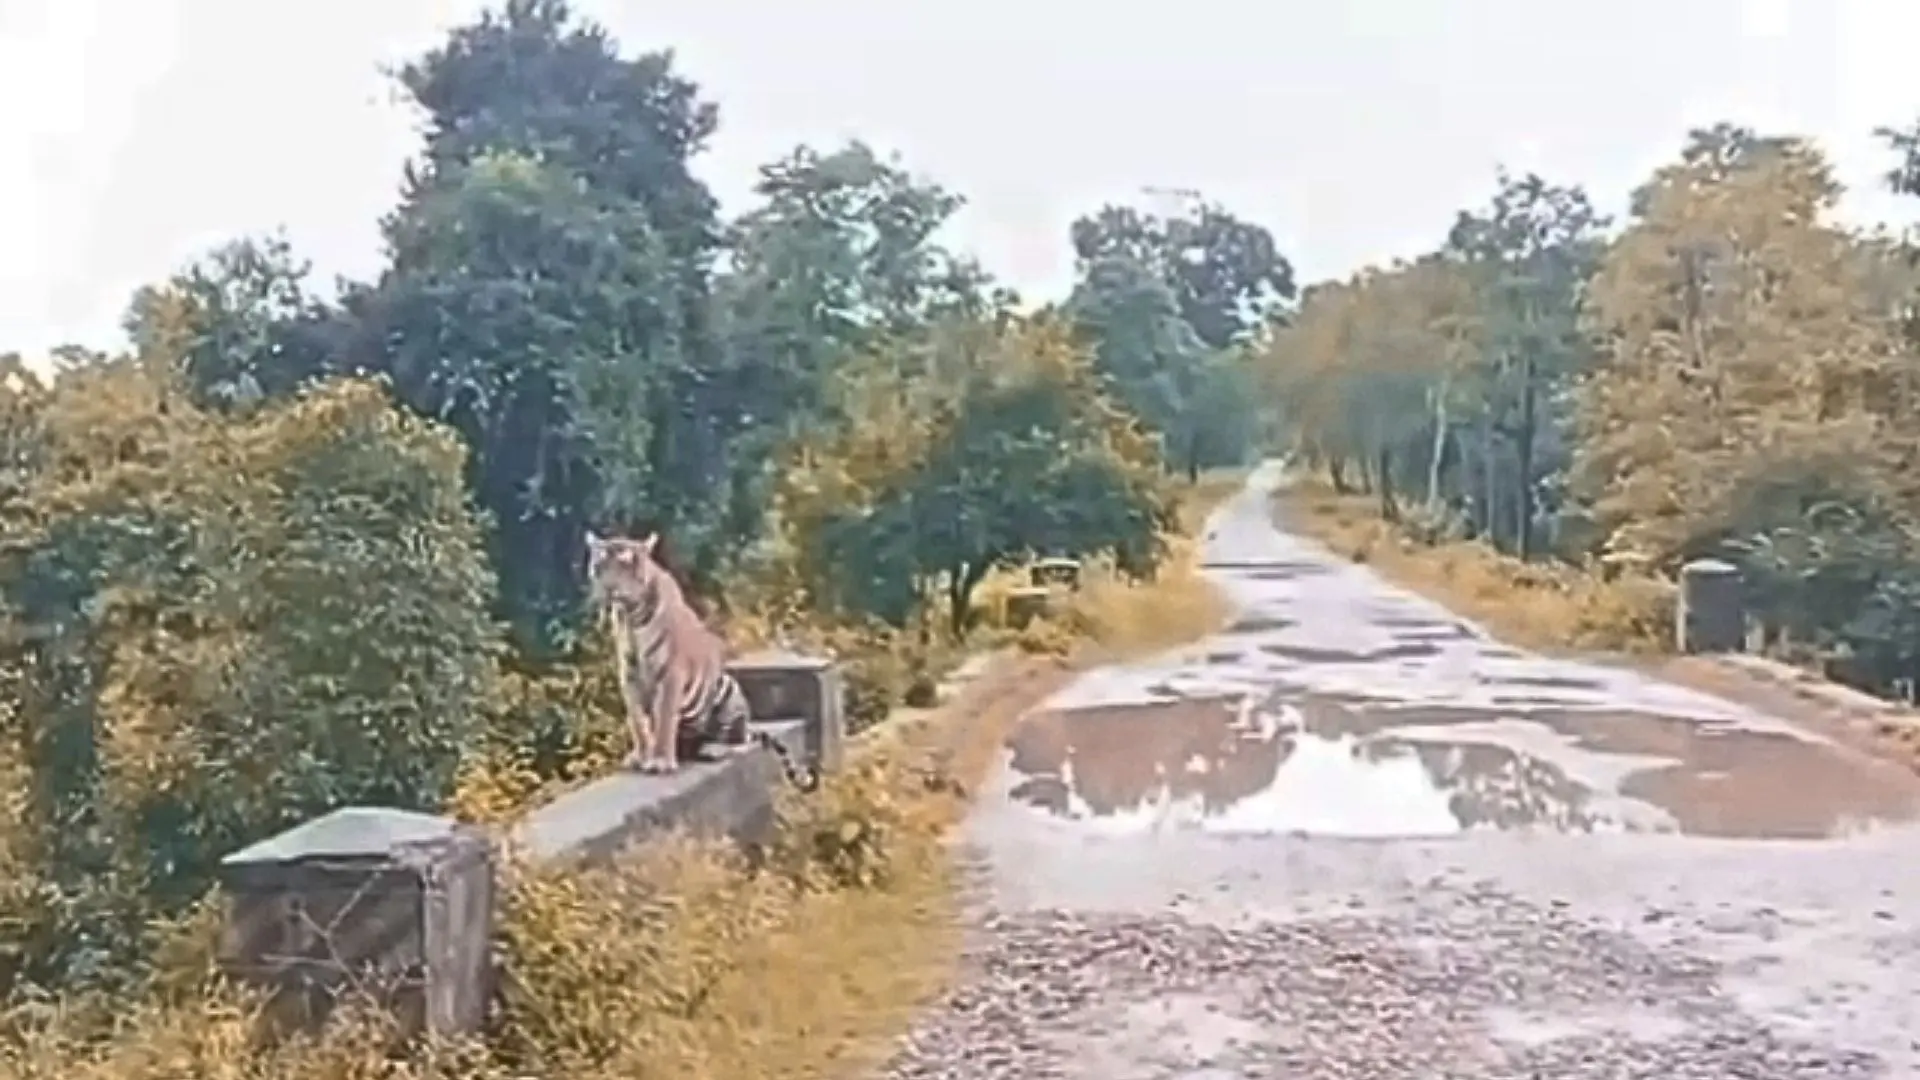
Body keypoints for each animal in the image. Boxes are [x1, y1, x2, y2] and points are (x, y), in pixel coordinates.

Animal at [585, 530, 818, 791]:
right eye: (599, 567)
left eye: (626, 565)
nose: (609, 589)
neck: (630, 615)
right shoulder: (629, 675)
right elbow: (638, 722)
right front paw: (641, 756)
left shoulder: (671, 673)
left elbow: (664, 719)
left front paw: (661, 761)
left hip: (728, 690)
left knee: (735, 738)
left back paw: (712, 749)